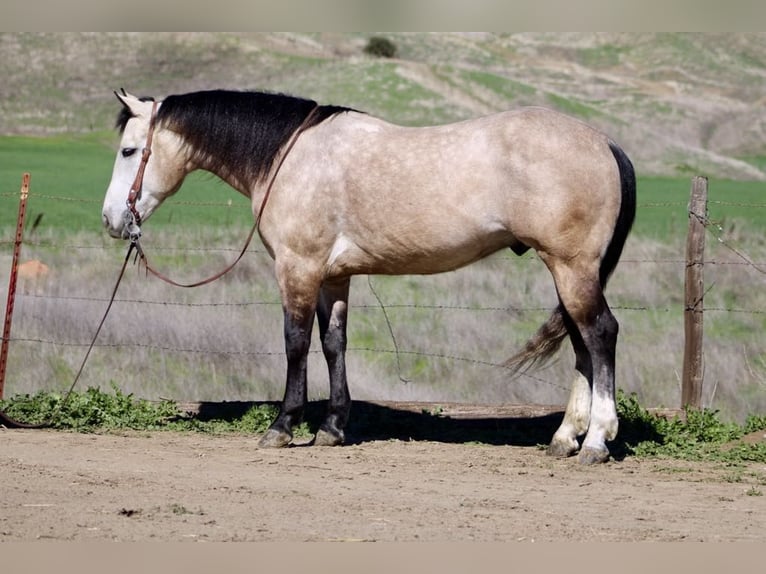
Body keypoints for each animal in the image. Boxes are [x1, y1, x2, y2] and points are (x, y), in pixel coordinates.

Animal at [102, 89, 635, 464]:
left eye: (129, 151)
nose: (112, 220)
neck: (290, 157)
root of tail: (605, 142)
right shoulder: (333, 278)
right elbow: (333, 344)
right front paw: (333, 429)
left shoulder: (297, 268)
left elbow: (295, 342)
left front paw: (282, 427)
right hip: (567, 272)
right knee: (580, 343)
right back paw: (565, 438)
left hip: (572, 268)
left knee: (601, 334)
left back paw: (596, 441)